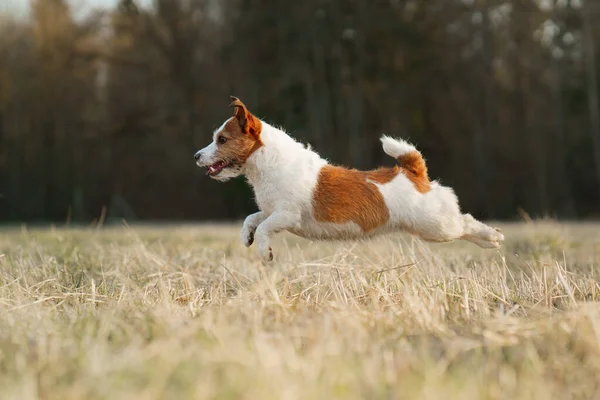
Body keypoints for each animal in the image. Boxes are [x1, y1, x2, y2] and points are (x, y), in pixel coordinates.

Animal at [195, 95, 504, 260]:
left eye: (222, 140)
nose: (197, 156)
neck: (268, 163)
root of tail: (414, 171)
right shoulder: (271, 211)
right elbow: (252, 219)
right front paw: (246, 237)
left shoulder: (286, 215)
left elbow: (264, 228)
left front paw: (263, 251)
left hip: (437, 226)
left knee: (466, 222)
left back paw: (493, 236)